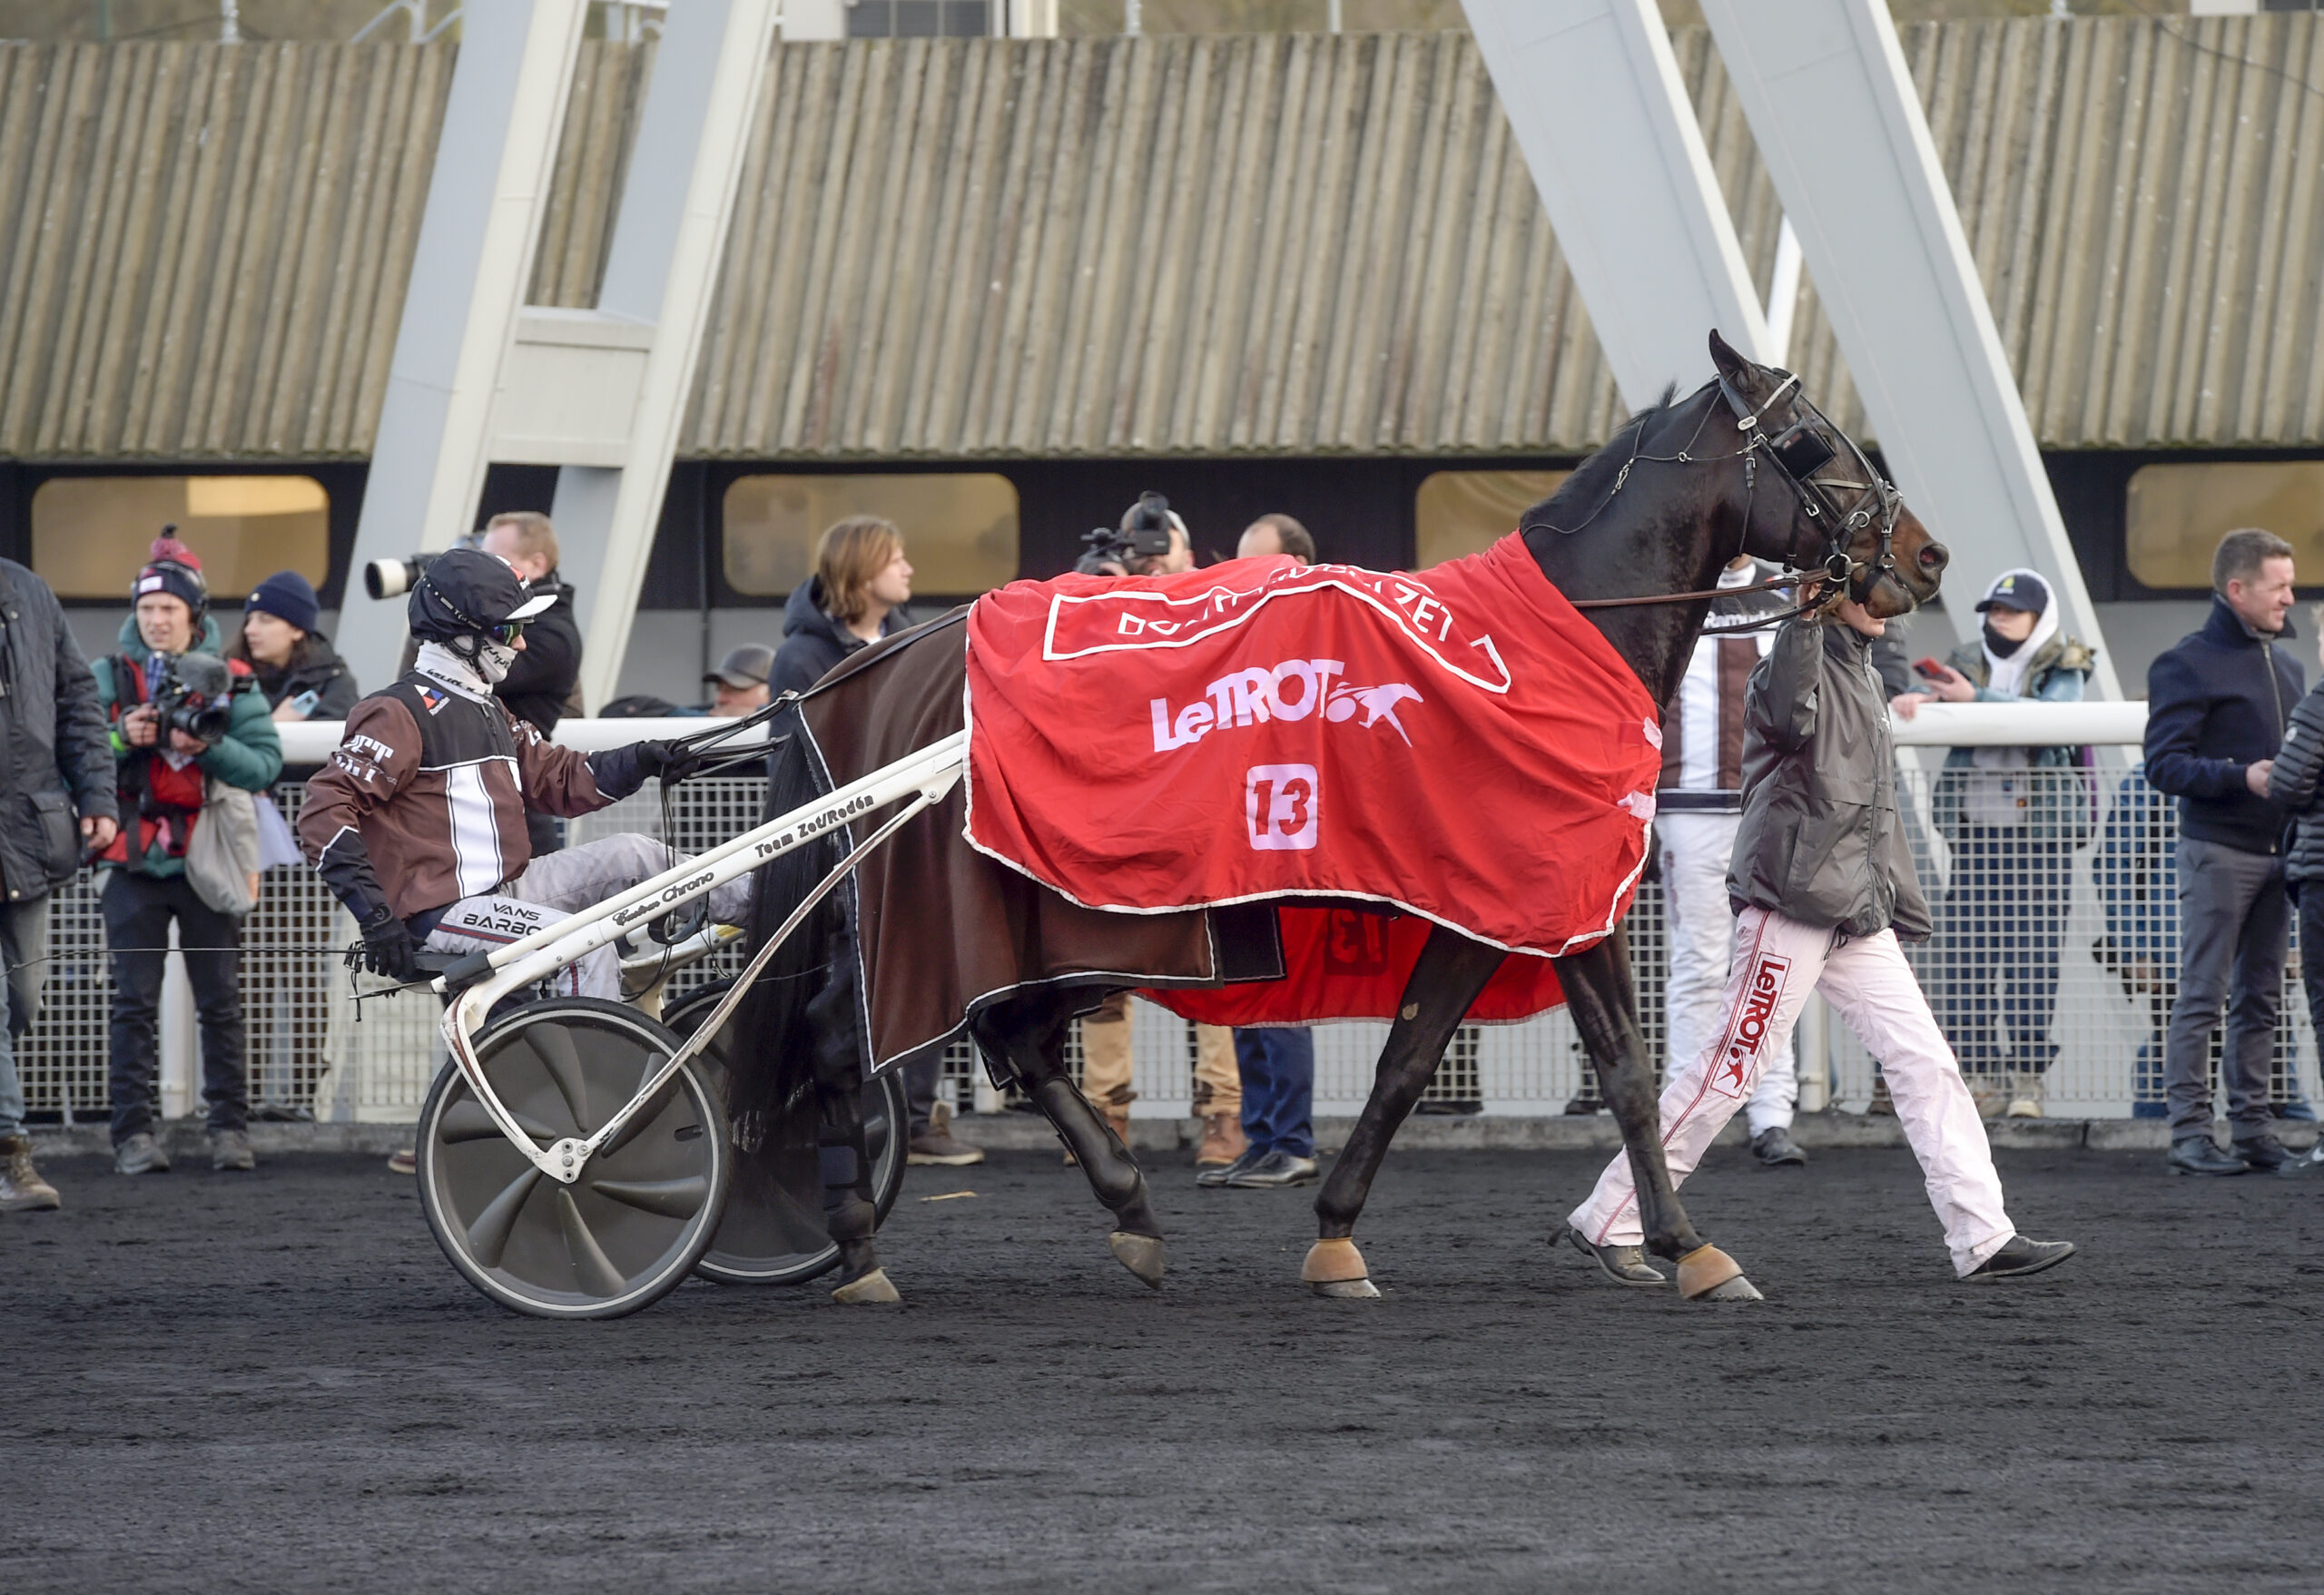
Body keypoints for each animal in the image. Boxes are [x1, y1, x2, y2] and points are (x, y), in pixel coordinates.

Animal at [724, 330, 1943, 1302]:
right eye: (1814, 442)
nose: (1923, 554)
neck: (1548, 642)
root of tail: (878, 664)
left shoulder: (1540, 899)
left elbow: (1571, 1068)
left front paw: (1669, 1243)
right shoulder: (1518, 893)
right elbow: (1461, 1065)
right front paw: (1677, 1244)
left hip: (1055, 922)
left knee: (1002, 1034)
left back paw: (1123, 1209)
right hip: (1004, 911)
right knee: (843, 1032)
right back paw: (854, 1243)